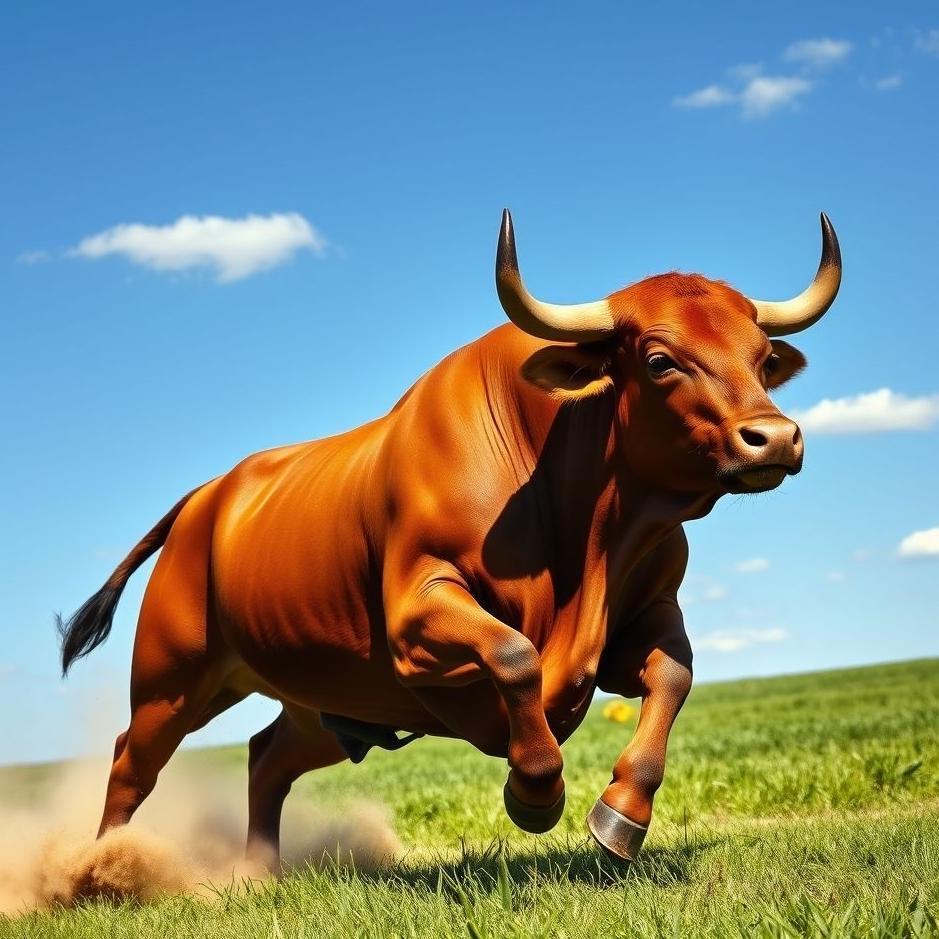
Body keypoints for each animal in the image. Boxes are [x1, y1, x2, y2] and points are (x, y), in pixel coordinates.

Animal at [57, 210, 841, 866]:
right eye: (658, 360)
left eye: (761, 357)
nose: (773, 437)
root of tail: (209, 496)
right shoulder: (416, 614)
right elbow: (515, 655)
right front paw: (534, 792)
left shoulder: (644, 617)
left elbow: (674, 676)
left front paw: (621, 813)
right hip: (172, 679)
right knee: (131, 763)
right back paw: (101, 871)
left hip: (325, 702)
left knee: (265, 757)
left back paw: (257, 874)